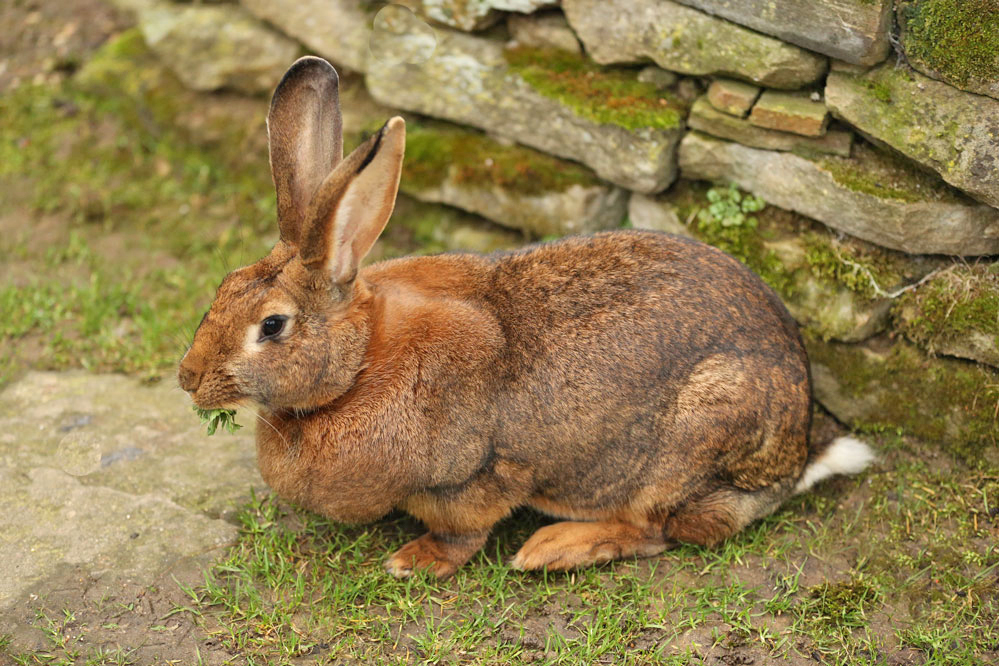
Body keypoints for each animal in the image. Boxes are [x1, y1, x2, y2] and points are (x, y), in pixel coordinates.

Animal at [180, 57, 876, 576]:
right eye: (223, 287)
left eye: (272, 326)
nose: (188, 378)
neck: (359, 365)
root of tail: (793, 457)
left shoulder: (471, 478)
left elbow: (462, 533)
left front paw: (414, 560)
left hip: (695, 434)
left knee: (660, 527)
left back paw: (551, 549)